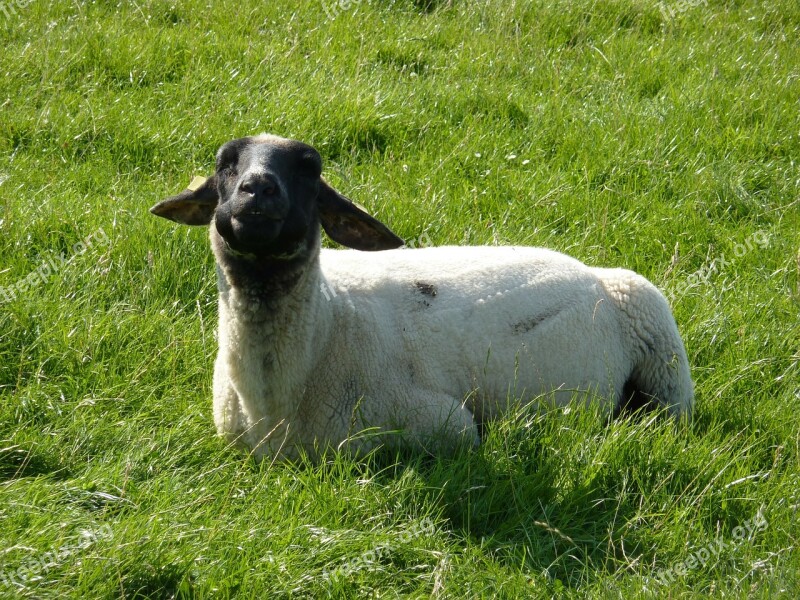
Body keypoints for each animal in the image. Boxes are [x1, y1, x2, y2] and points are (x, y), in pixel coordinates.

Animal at [152, 132, 692, 460]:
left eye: (310, 168)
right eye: (225, 163)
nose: (258, 188)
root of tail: (586, 270)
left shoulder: (445, 423)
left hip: (661, 346)